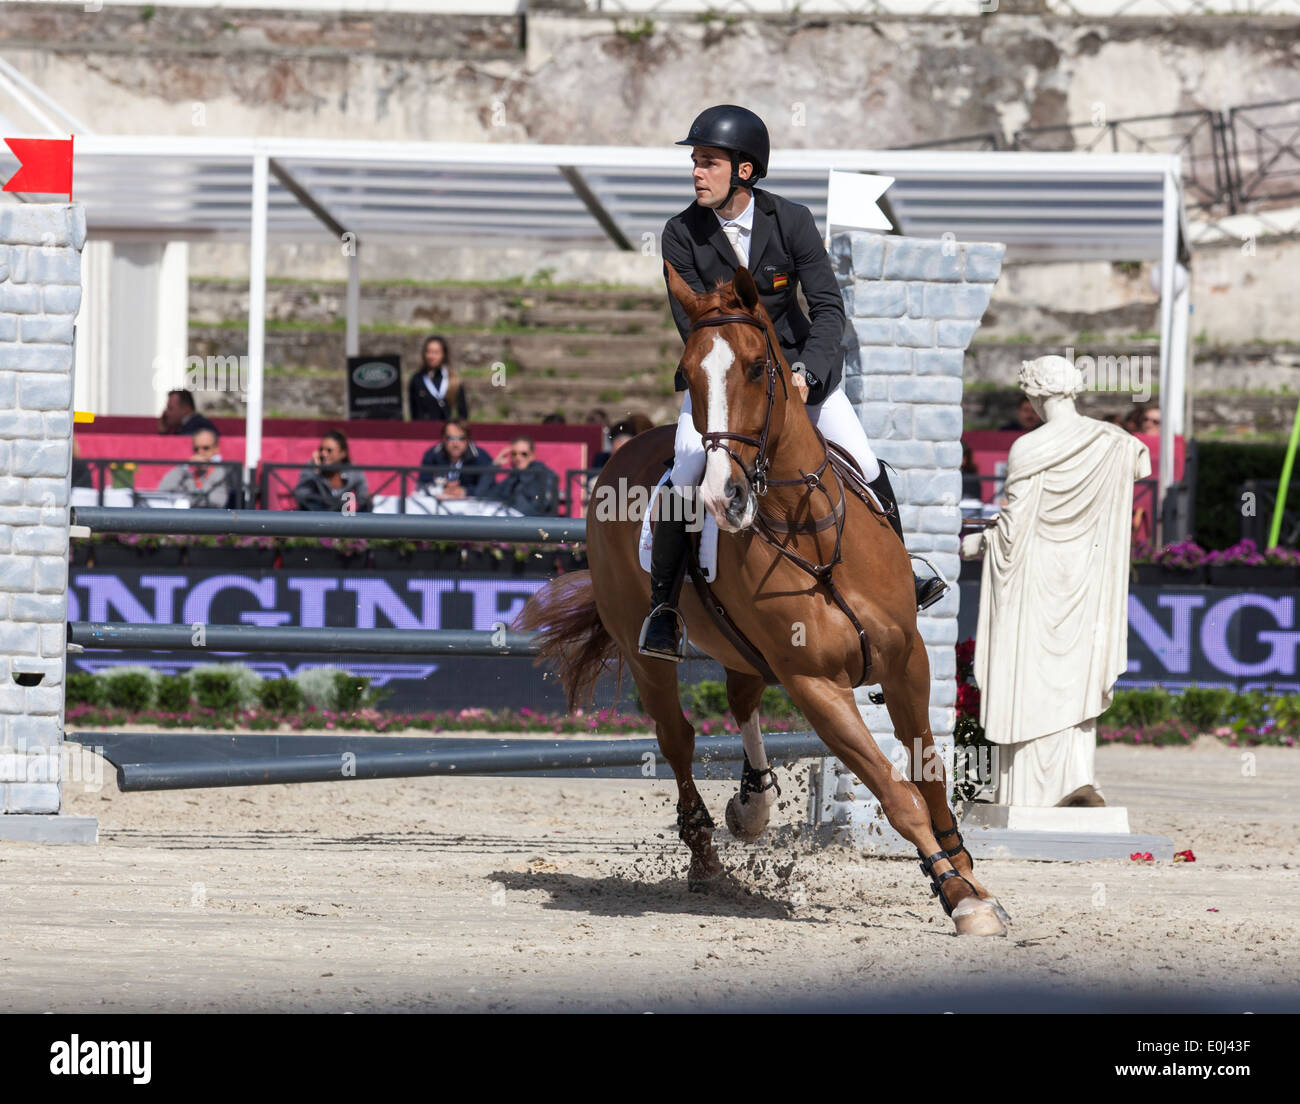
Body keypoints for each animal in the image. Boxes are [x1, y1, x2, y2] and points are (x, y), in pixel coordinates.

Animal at [517, 262, 1009, 937]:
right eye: (685, 374)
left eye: (757, 367)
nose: (723, 497)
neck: (810, 535)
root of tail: (624, 450)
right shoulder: (815, 685)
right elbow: (897, 794)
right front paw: (958, 897)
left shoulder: (907, 660)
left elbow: (929, 777)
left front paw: (969, 879)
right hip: (648, 657)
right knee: (678, 738)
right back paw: (705, 857)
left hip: (741, 645)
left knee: (740, 697)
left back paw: (751, 805)